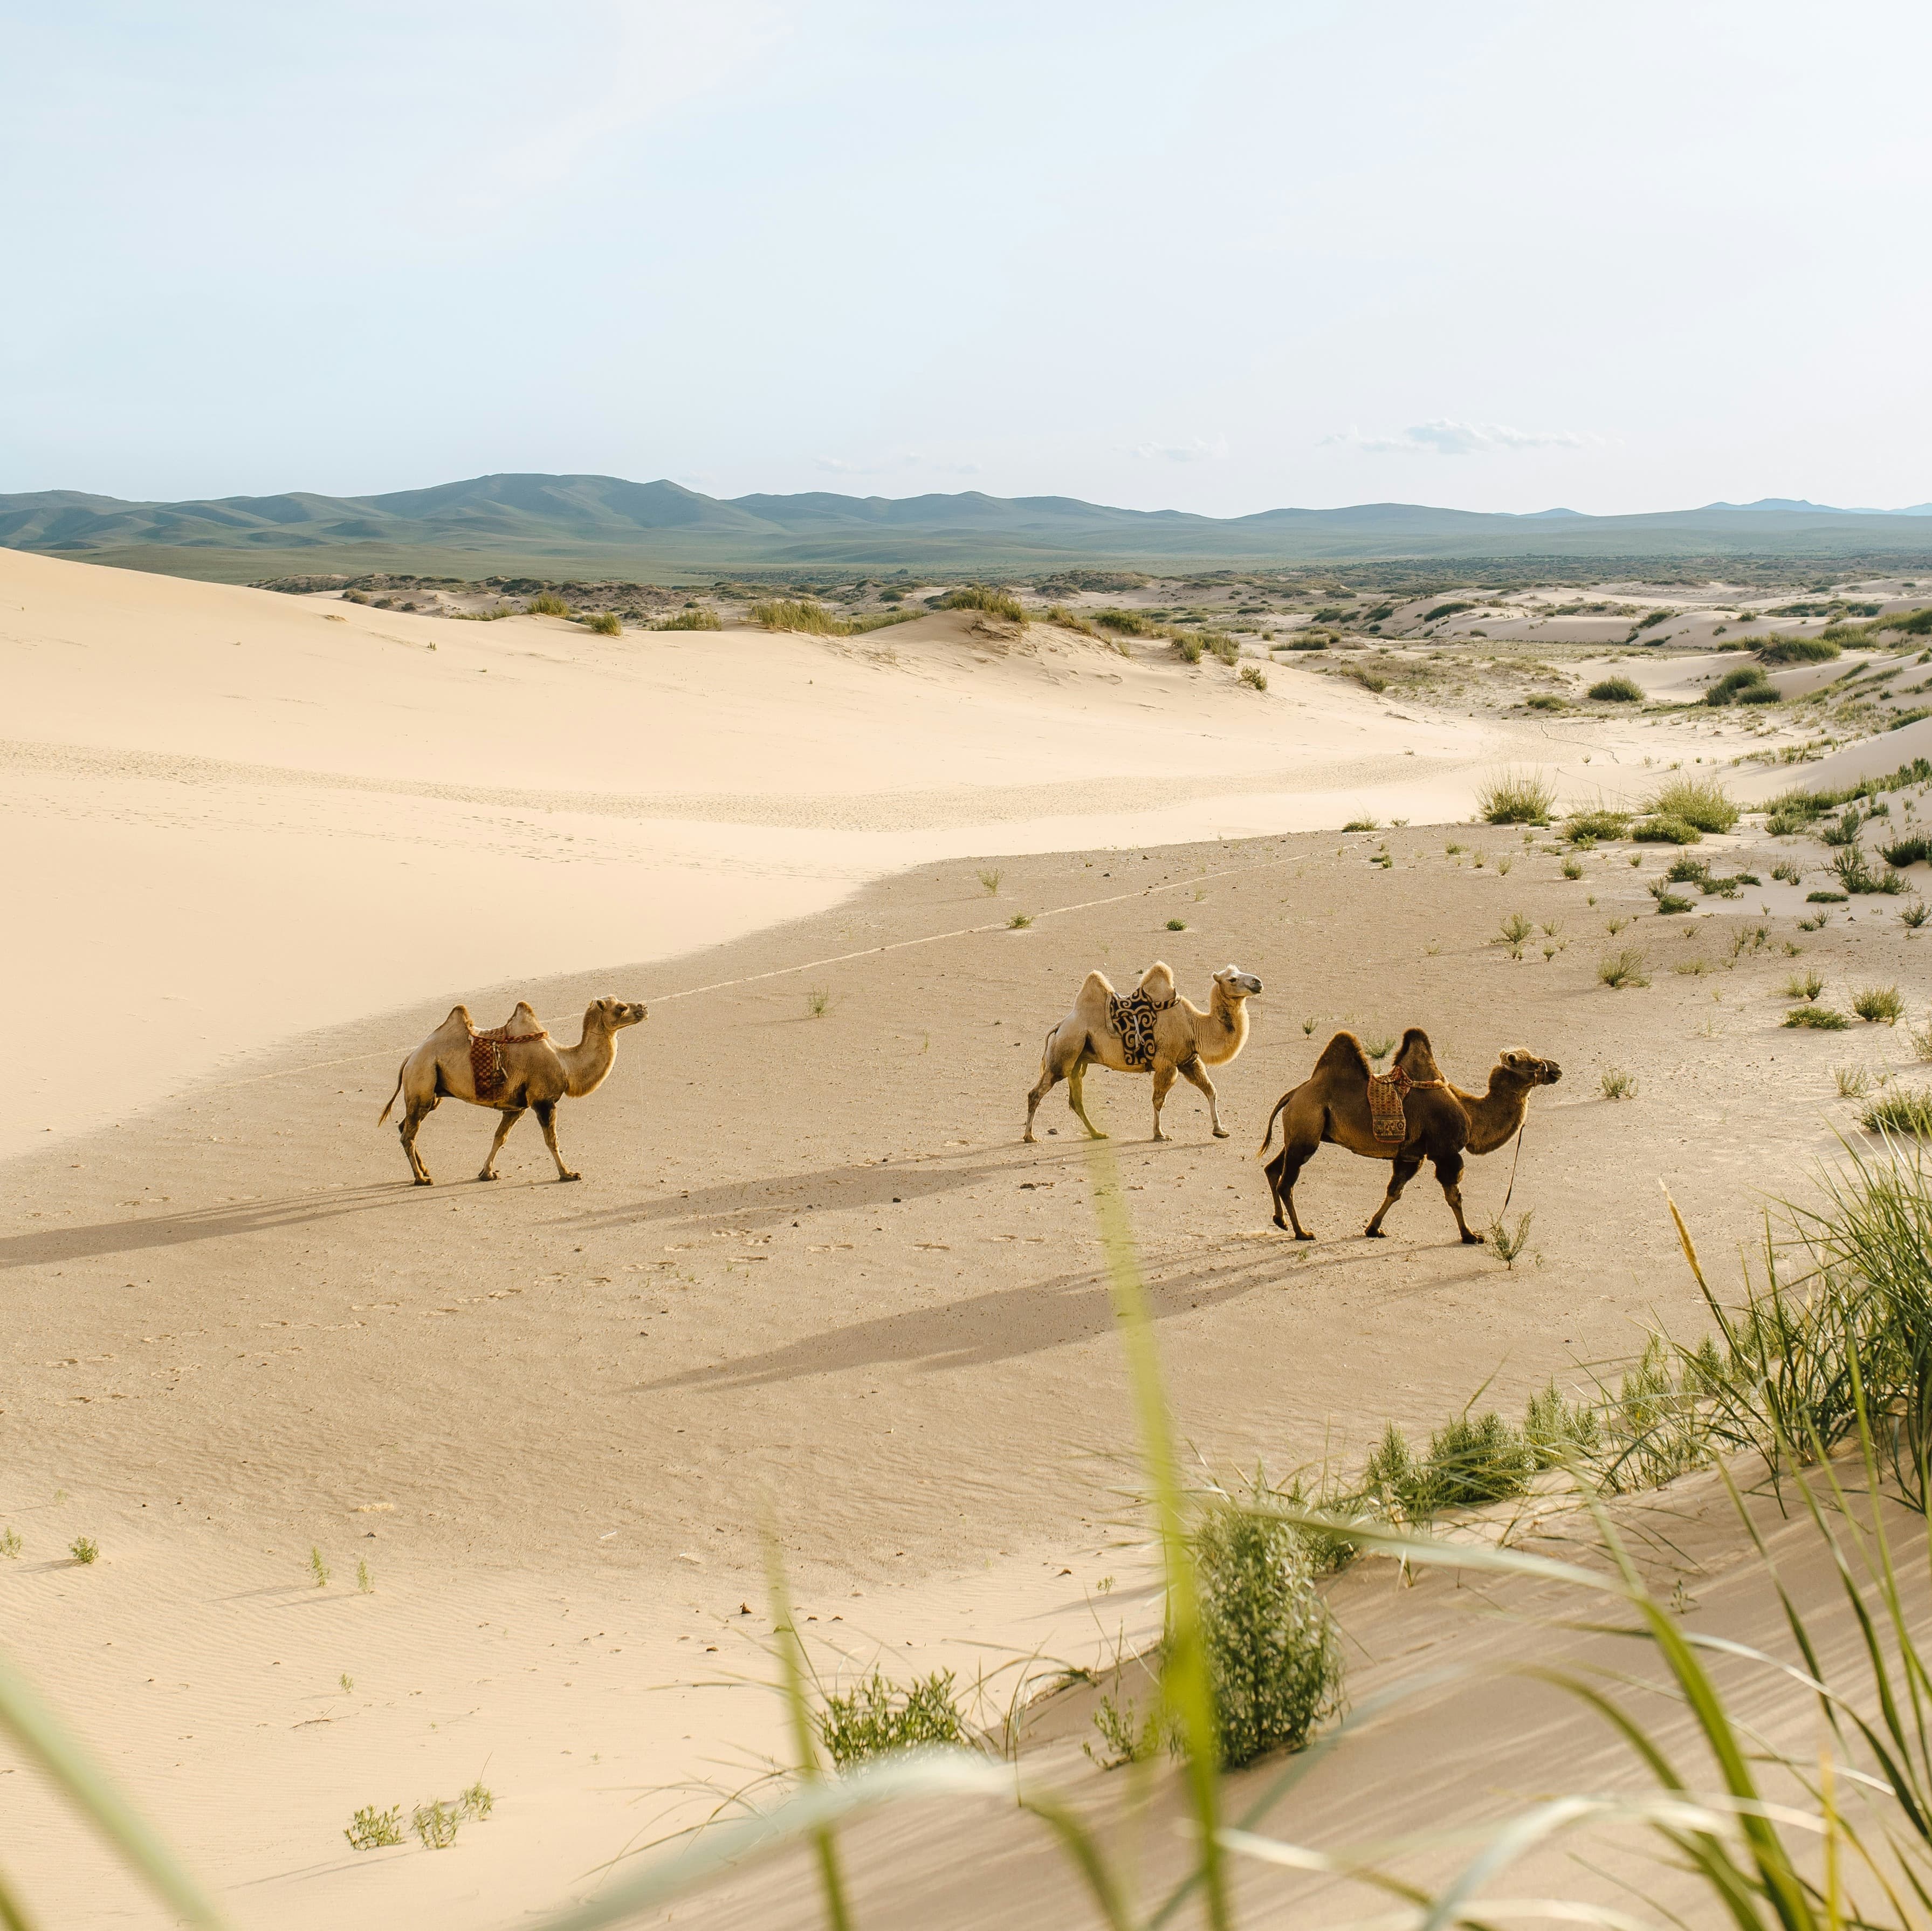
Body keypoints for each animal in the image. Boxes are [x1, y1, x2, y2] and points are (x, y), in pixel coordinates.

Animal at [378, 997, 647, 1185]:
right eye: (621, 1008)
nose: (643, 1007)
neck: (565, 1064)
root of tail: (409, 1059)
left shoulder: (517, 1107)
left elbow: (500, 1137)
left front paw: (486, 1173)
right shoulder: (543, 1100)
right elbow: (552, 1140)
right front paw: (568, 1173)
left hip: (431, 1092)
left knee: (405, 1126)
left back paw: (424, 1170)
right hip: (423, 1080)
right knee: (408, 1133)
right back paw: (421, 1179)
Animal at [1024, 962, 1263, 1144]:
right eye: (1232, 979)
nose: (1258, 982)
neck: (1194, 1025)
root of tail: (1060, 1026)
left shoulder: (1189, 1061)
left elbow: (1211, 1090)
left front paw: (1220, 1131)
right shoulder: (1167, 1064)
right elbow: (1158, 1101)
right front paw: (1159, 1134)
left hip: (1077, 1061)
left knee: (1076, 1101)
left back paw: (1097, 1134)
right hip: (1065, 1052)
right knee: (1036, 1093)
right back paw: (1030, 1137)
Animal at [1256, 1027, 1560, 1242]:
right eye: (1532, 1063)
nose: (1556, 1068)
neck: (1471, 1113)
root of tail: (1294, 1093)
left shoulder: (1412, 1154)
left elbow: (1395, 1191)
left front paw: (1373, 1229)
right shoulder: (1445, 1152)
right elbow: (1454, 1196)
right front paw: (1470, 1236)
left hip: (1302, 1133)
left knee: (1273, 1168)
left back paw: (1281, 1221)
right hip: (1307, 1129)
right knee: (1286, 1183)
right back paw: (1302, 1232)